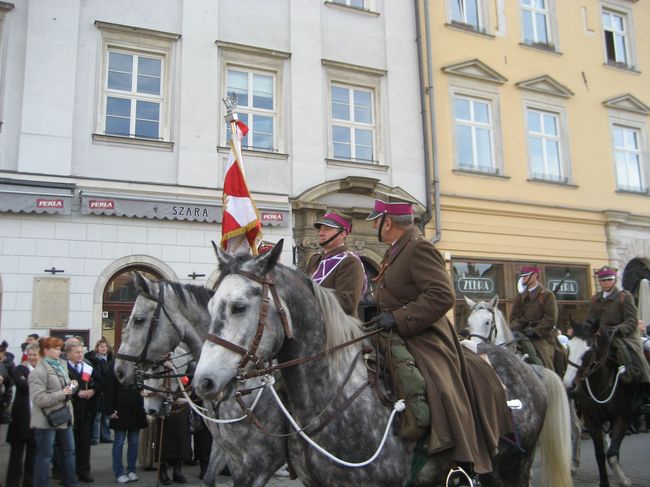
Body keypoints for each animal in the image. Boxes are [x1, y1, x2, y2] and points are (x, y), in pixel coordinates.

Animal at [460, 298, 584, 476]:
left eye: (488, 322)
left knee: (575, 426)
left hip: (568, 398)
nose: (473, 348)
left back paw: (573, 463)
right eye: (469, 323)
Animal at [560, 322, 640, 486]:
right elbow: (600, 453)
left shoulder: (623, 417)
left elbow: (612, 453)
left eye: (589, 350)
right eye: (569, 348)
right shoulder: (591, 419)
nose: (568, 384)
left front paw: (623, 479)